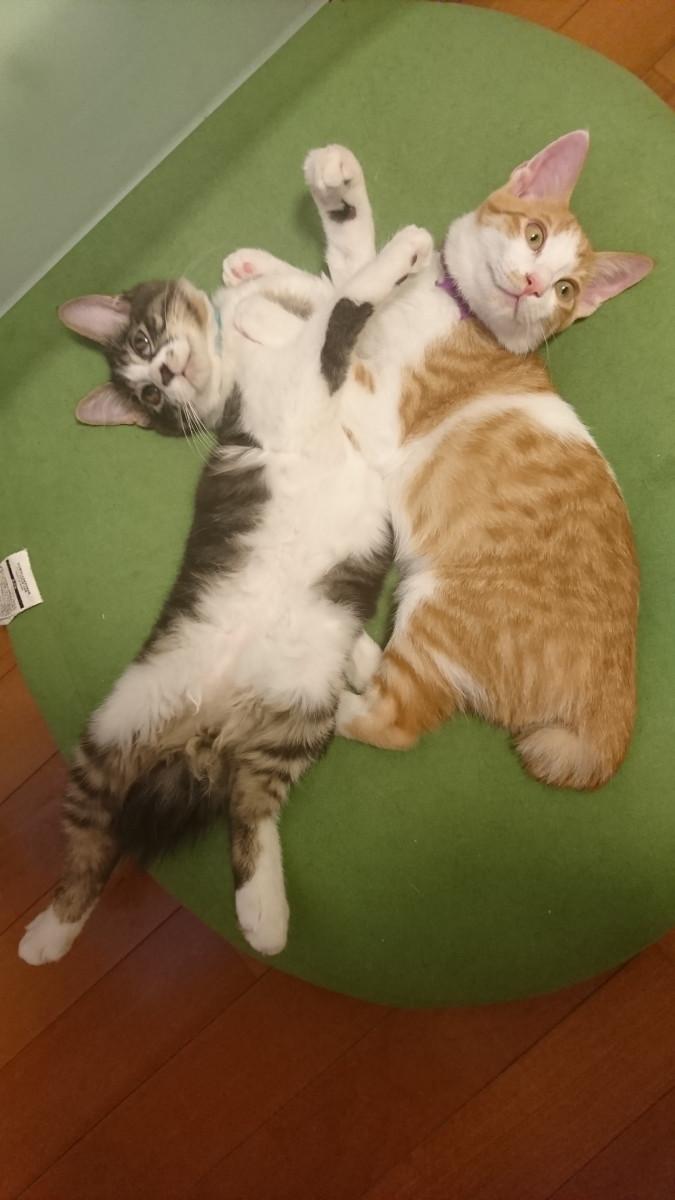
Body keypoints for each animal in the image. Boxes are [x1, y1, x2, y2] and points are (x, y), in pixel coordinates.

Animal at [20, 158, 432, 966]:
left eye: (146, 337)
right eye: (147, 392)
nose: (167, 372)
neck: (234, 365)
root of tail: (204, 727)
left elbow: (332, 276)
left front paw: (307, 224)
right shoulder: (313, 376)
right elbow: (345, 301)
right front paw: (396, 251)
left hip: (296, 713)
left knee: (250, 811)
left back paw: (262, 915)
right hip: (112, 731)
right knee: (90, 842)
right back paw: (49, 936)